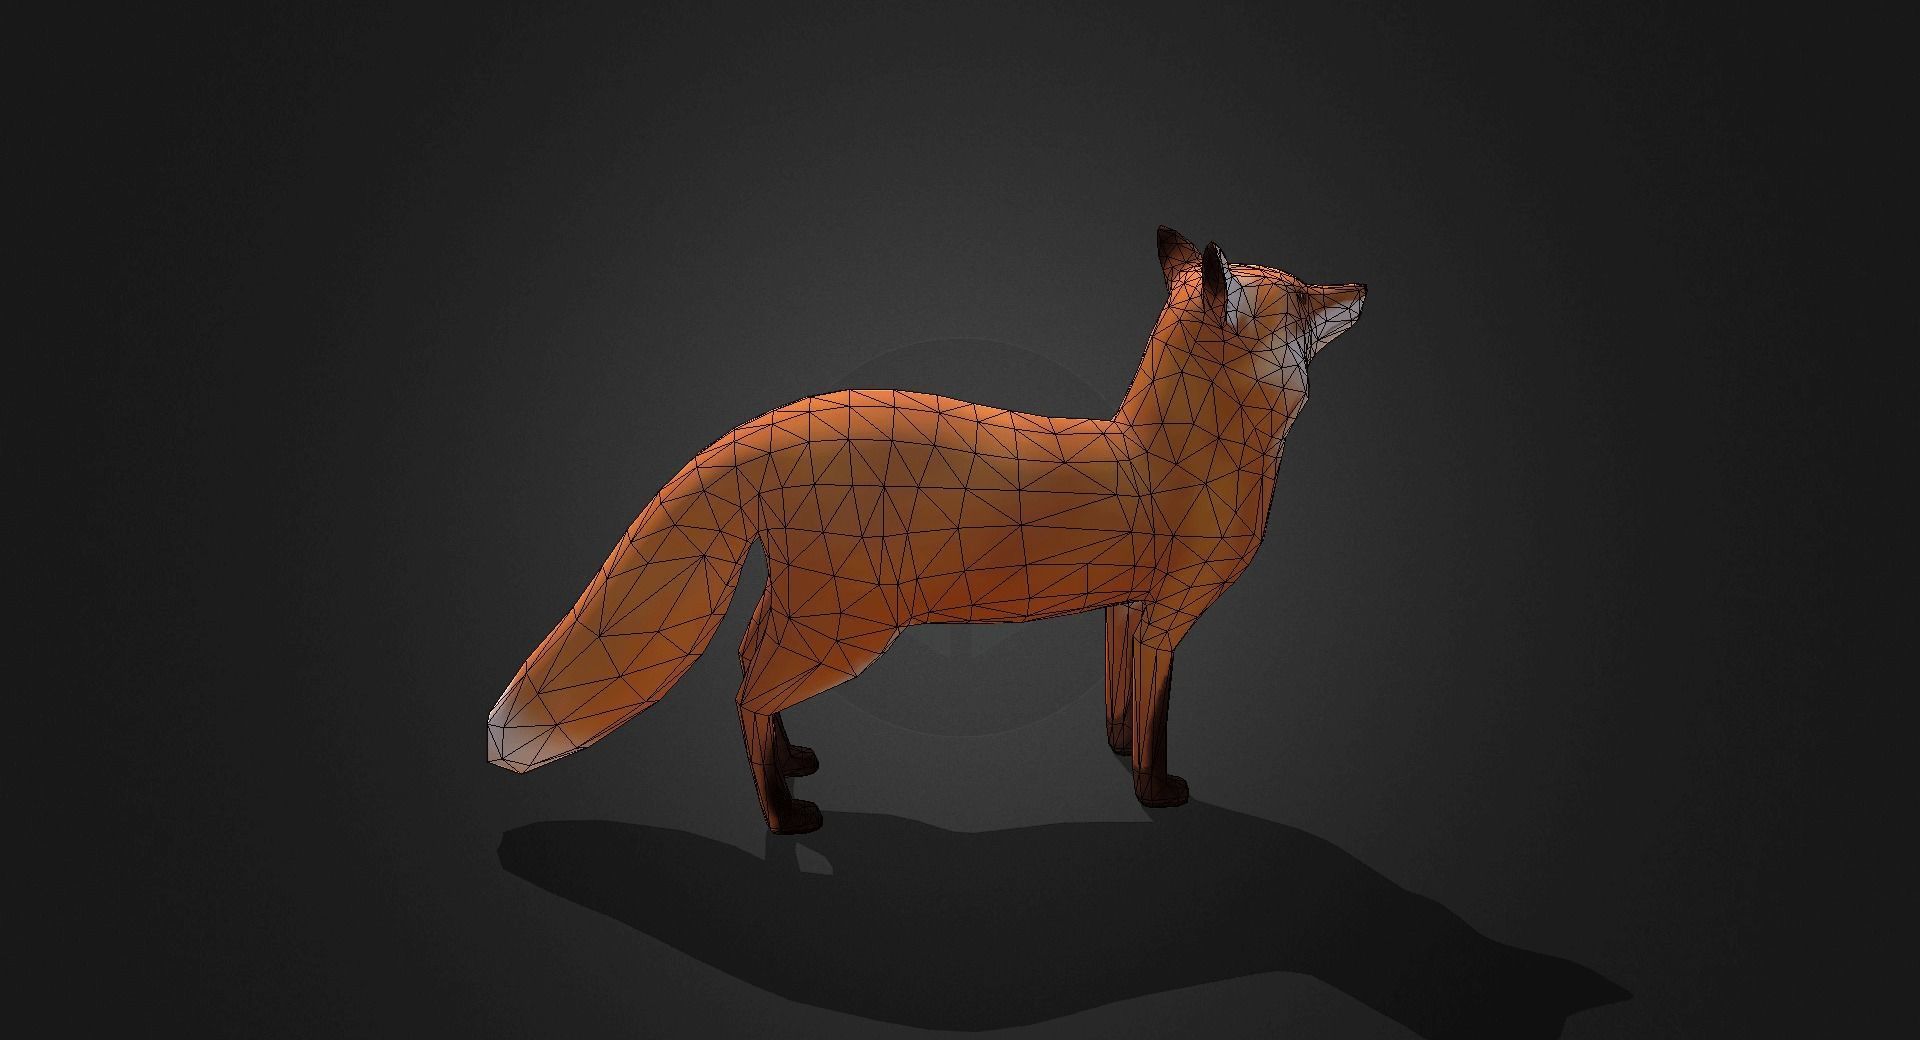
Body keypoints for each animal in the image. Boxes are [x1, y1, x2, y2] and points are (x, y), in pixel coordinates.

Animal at [487, 227, 1367, 834]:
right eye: (1302, 297)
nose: (1361, 282)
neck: (1166, 453)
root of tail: (778, 419)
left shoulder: (1124, 607)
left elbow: (1121, 697)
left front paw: (1118, 750)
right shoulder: (1167, 617)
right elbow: (1156, 718)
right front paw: (1155, 791)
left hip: (810, 610)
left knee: (745, 664)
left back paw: (791, 762)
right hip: (847, 630)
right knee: (744, 691)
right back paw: (783, 815)